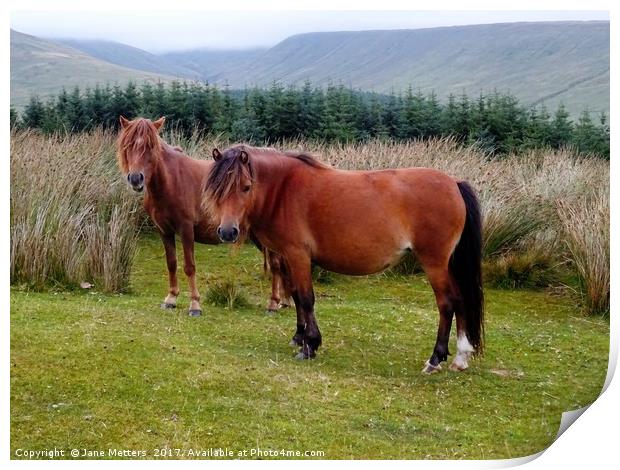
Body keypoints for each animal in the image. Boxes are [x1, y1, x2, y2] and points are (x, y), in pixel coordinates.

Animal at [117, 117, 292, 316]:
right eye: (128, 146)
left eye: (150, 146)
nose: (135, 179)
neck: (170, 181)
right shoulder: (164, 231)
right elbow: (171, 263)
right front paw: (171, 299)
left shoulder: (186, 229)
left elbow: (189, 266)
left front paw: (195, 305)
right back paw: (285, 301)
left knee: (276, 265)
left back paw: (273, 303)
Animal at [205, 145, 484, 372]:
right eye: (218, 190)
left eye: (246, 187)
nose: (228, 232)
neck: (283, 189)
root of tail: (454, 183)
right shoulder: (287, 256)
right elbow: (294, 294)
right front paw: (299, 336)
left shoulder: (298, 254)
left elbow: (305, 298)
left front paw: (310, 345)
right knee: (461, 300)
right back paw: (461, 357)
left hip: (434, 263)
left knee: (447, 303)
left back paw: (436, 359)